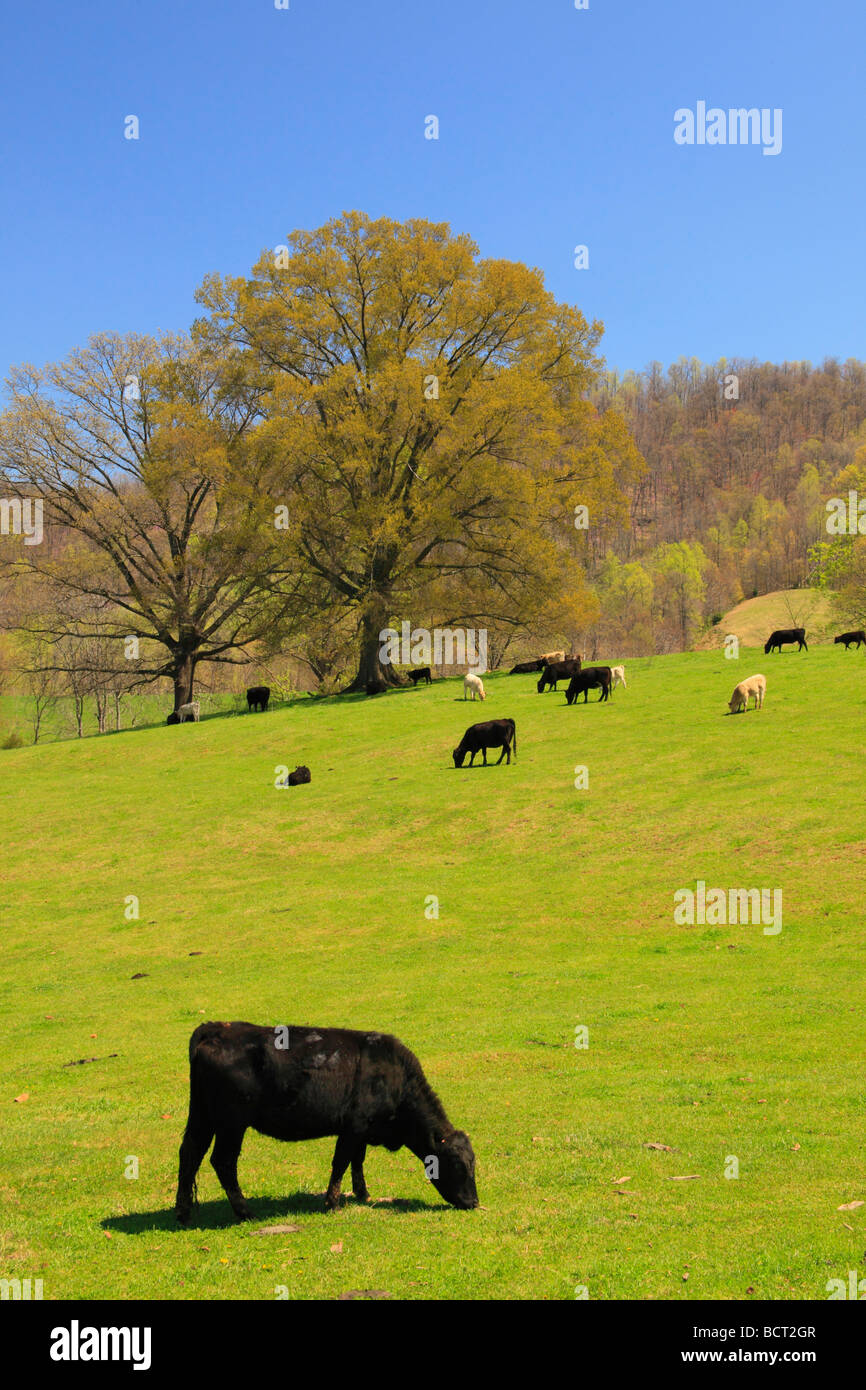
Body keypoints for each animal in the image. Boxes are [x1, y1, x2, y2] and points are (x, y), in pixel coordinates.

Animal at [171, 1017, 478, 1223]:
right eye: (456, 1165)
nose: (474, 1202)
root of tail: (218, 1028)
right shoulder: (354, 1126)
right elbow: (341, 1162)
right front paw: (332, 1202)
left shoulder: (361, 1131)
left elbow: (357, 1161)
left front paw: (362, 1194)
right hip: (231, 1123)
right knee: (222, 1161)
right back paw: (245, 1212)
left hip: (202, 1116)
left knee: (190, 1154)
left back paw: (183, 1213)